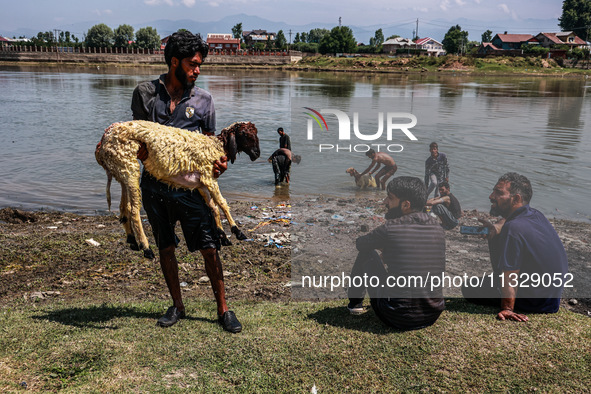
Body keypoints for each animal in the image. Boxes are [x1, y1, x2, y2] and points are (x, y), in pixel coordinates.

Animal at [96, 120, 260, 258]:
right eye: (244, 134)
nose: (257, 154)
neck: (216, 145)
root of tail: (103, 141)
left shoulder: (201, 183)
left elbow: (213, 207)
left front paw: (222, 235)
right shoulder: (208, 176)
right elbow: (222, 204)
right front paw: (237, 231)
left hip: (122, 168)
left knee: (124, 207)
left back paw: (132, 241)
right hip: (129, 166)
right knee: (134, 210)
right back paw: (146, 248)